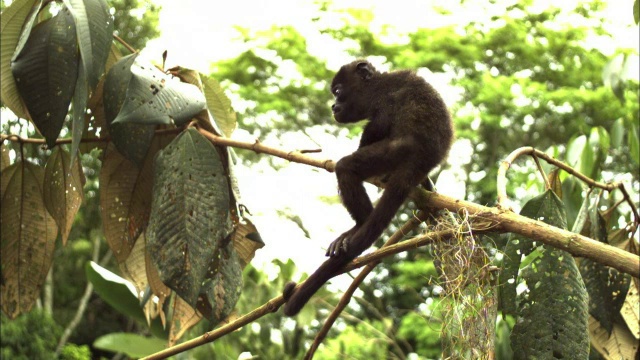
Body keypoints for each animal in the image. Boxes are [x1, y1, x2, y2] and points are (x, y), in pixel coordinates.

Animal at [282, 60, 452, 316]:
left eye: (338, 91)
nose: (333, 105)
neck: (376, 85)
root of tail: (419, 160)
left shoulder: (383, 102)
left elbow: (376, 128)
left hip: (394, 152)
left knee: (347, 167)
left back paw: (359, 224)